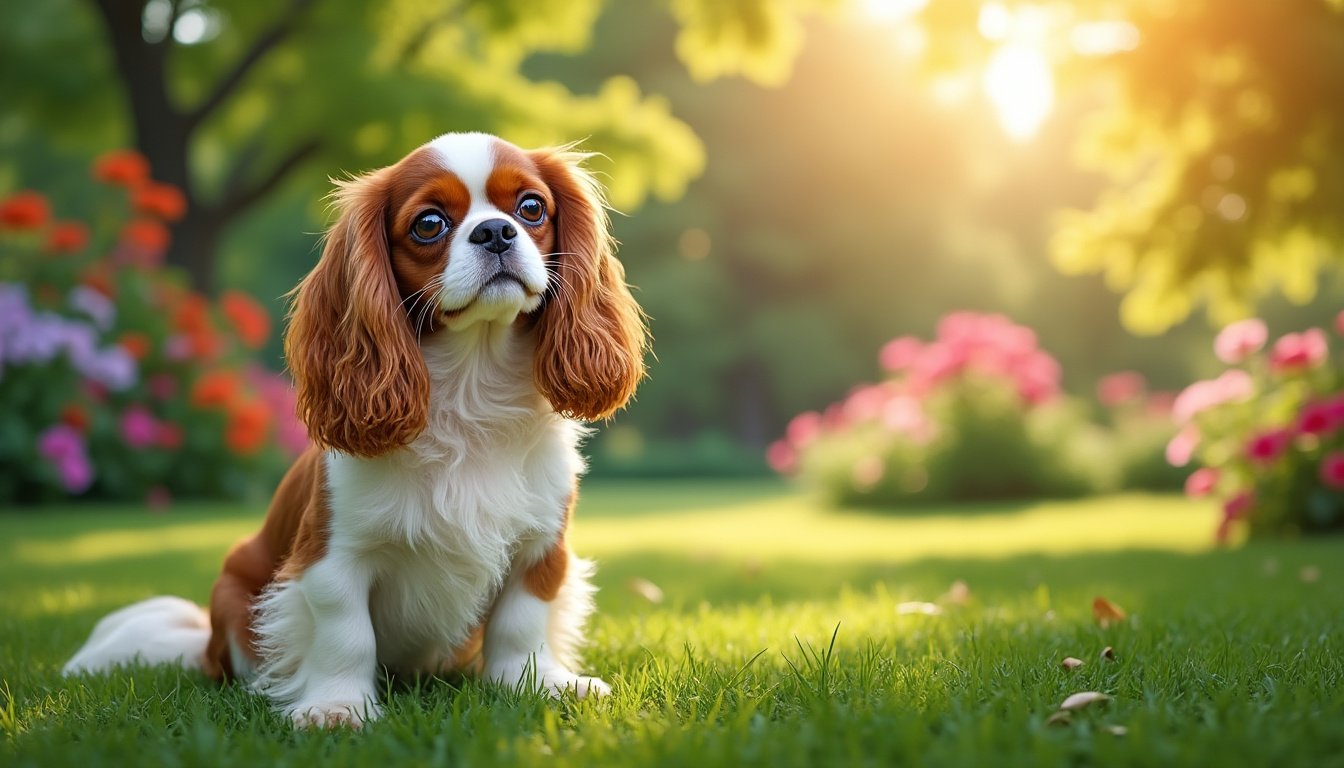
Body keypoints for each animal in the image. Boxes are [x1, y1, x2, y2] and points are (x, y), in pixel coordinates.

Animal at [65, 132, 647, 726]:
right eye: (429, 223)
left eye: (531, 208)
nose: (495, 231)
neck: (471, 385)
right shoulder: (333, 556)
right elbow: (345, 633)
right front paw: (337, 706)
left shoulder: (540, 548)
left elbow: (522, 623)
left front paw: (536, 685)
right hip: (232, 594)